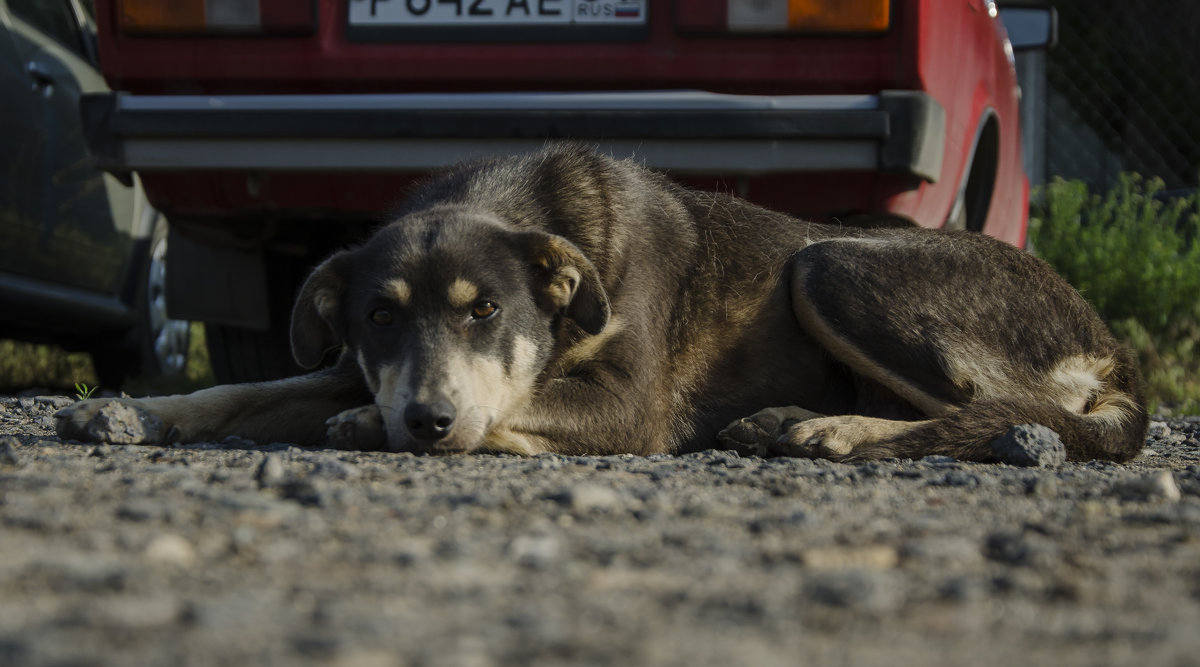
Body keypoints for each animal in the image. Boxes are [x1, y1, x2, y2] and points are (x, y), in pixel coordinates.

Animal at [58, 143, 1152, 460]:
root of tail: (1109, 343)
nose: (425, 418)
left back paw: (836, 428)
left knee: (1009, 409)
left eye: (486, 312)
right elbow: (236, 393)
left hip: (834, 265)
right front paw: (132, 409)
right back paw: (789, 418)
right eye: (377, 316)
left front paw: (375, 422)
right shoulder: (344, 363)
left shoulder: (628, 405)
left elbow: (515, 405)